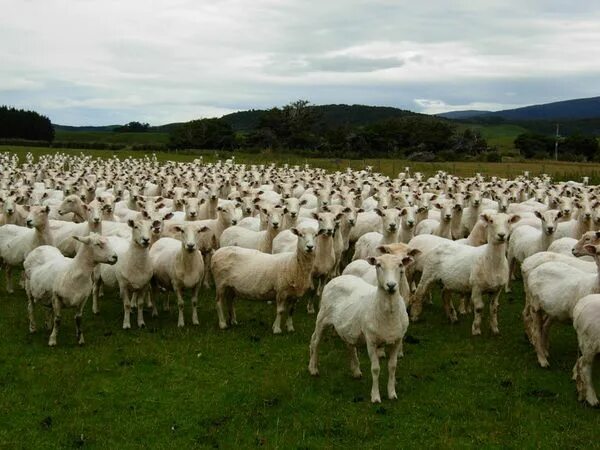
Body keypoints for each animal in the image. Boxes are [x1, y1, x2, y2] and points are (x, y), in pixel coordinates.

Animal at [308, 253, 410, 404]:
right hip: (322, 317)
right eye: (378, 265)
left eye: (400, 265)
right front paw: (375, 396)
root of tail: (339, 277)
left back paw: (355, 370)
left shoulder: (396, 341)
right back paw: (313, 368)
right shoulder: (371, 341)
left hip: (347, 325)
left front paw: (392, 393)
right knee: (315, 341)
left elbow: (392, 367)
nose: (391, 285)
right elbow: (375, 369)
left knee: (349, 344)